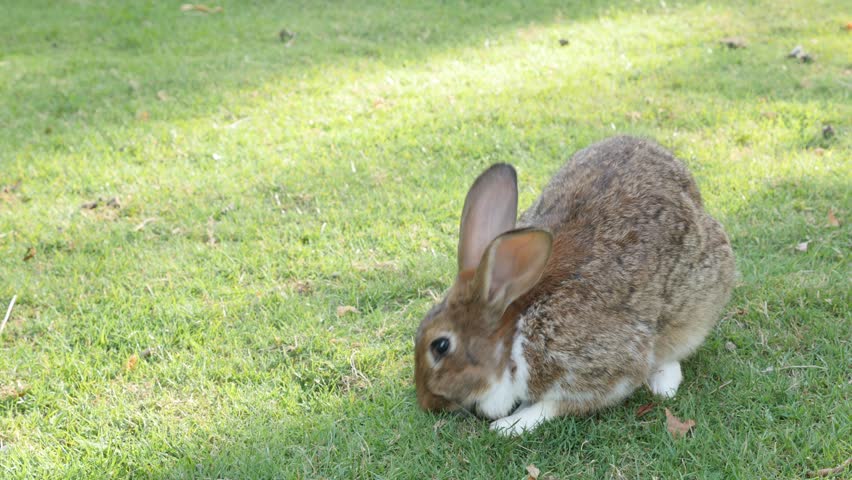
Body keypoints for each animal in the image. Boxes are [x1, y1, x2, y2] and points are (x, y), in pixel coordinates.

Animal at [414, 136, 735, 436]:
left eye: (440, 346)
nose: (426, 402)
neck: (512, 338)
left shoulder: (604, 368)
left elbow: (553, 405)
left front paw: (509, 426)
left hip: (696, 304)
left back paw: (663, 383)